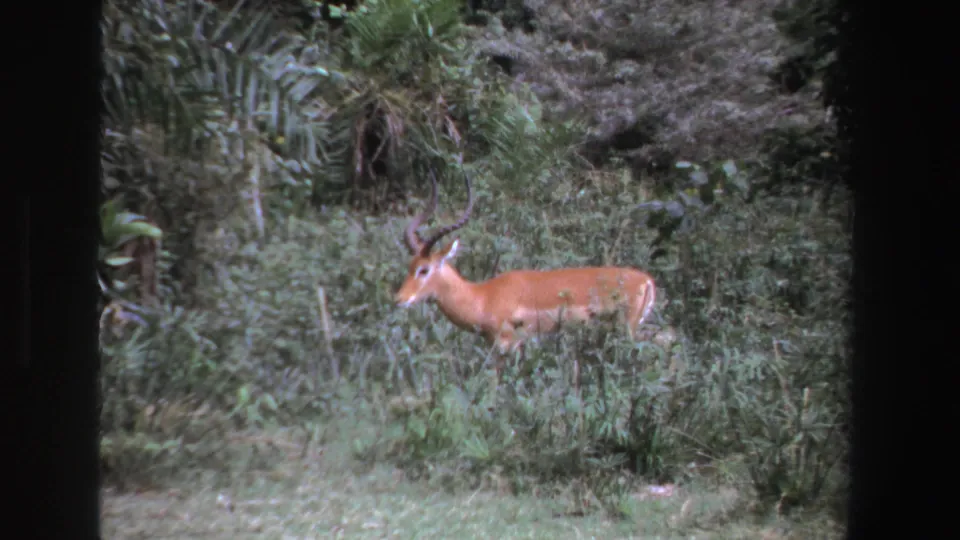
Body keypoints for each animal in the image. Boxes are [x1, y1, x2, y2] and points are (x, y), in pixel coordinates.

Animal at [395, 167, 658, 383]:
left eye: (424, 269)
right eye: (409, 265)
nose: (399, 299)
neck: (483, 297)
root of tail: (646, 281)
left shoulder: (506, 345)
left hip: (625, 330)